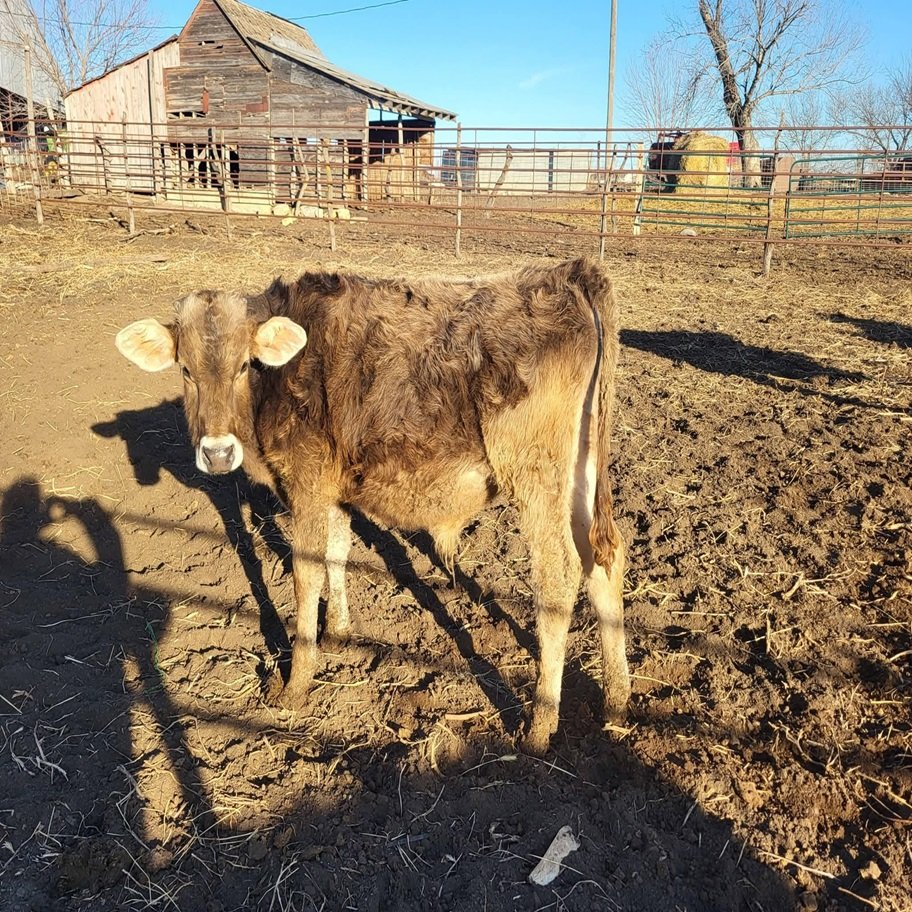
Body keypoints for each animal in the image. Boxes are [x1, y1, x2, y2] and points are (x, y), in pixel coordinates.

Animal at [114, 257, 630, 754]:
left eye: (243, 365)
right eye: (185, 369)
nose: (218, 453)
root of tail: (570, 273)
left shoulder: (307, 486)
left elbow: (306, 573)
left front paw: (296, 683)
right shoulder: (334, 489)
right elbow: (337, 555)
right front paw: (338, 633)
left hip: (537, 476)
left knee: (559, 577)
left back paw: (540, 726)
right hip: (579, 474)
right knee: (605, 560)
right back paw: (617, 702)